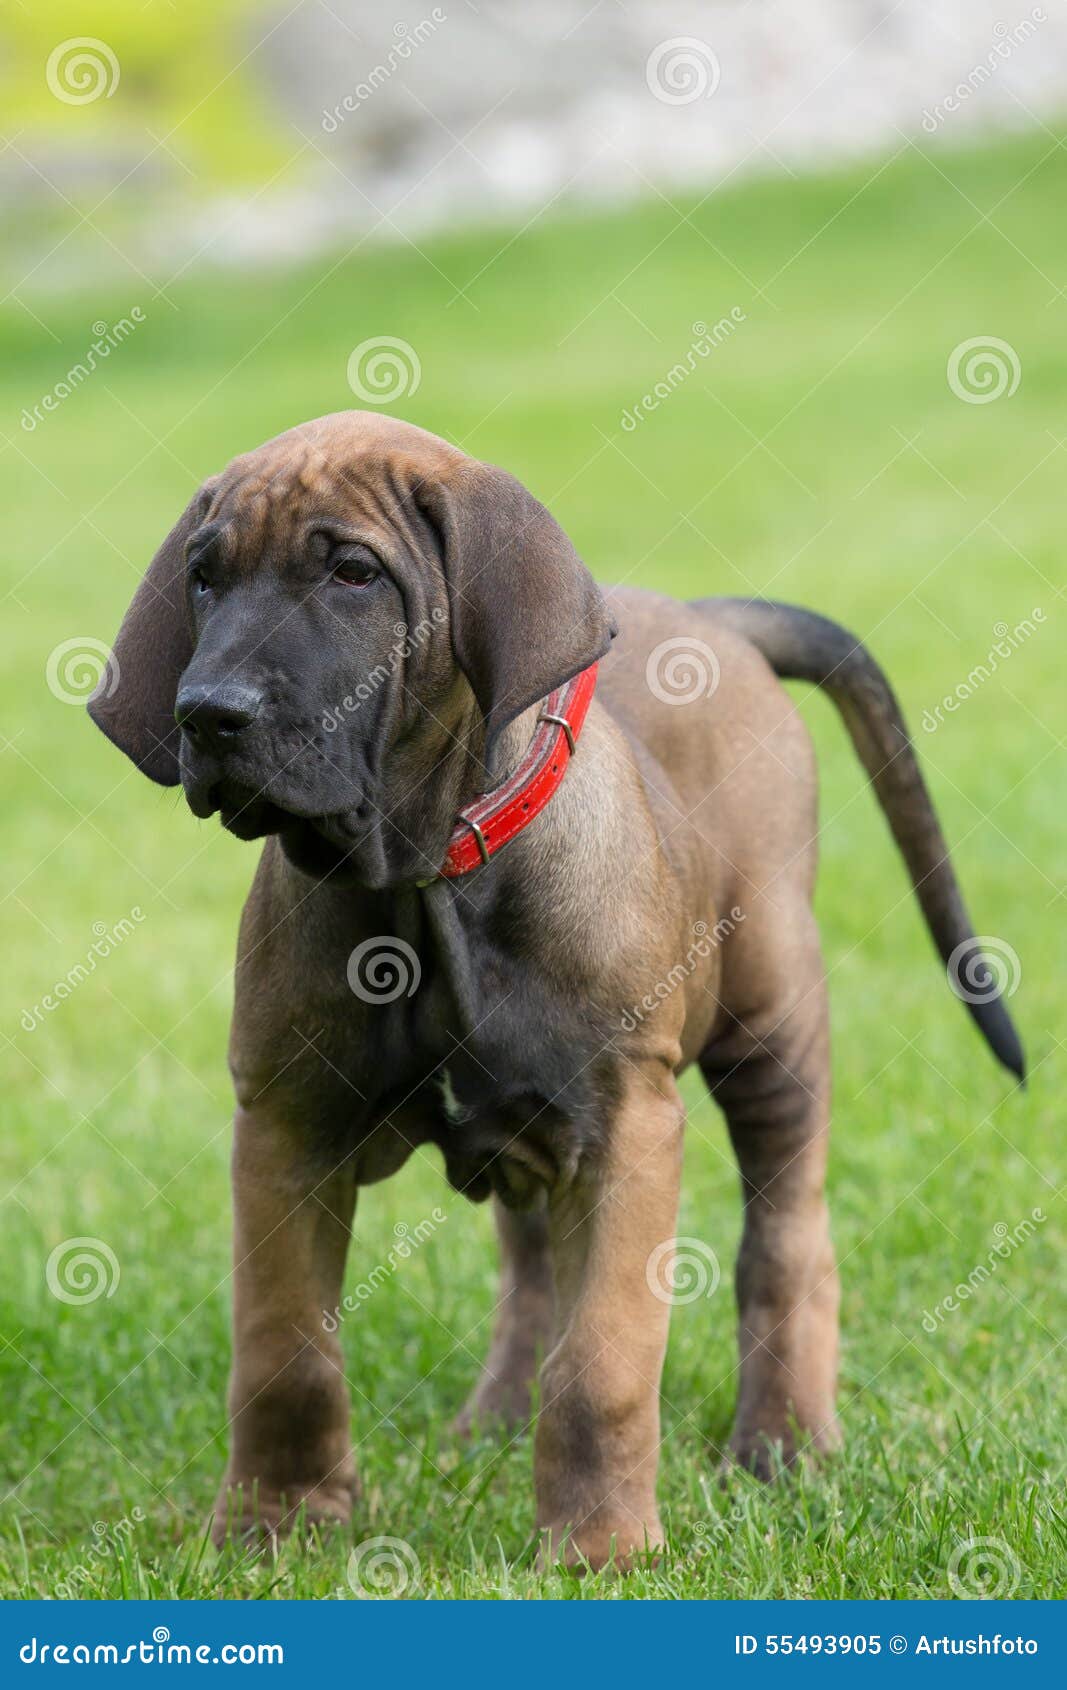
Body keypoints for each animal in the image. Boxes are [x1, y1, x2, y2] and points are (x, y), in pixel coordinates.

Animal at [87, 408, 1021, 1568]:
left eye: (352, 573)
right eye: (204, 578)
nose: (208, 714)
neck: (422, 880)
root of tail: (713, 622)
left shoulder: (628, 1127)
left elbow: (604, 1363)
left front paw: (598, 1546)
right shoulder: (283, 1125)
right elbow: (284, 1352)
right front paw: (277, 1522)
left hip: (771, 1020)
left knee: (786, 1237)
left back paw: (783, 1442)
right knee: (529, 1262)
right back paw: (492, 1419)